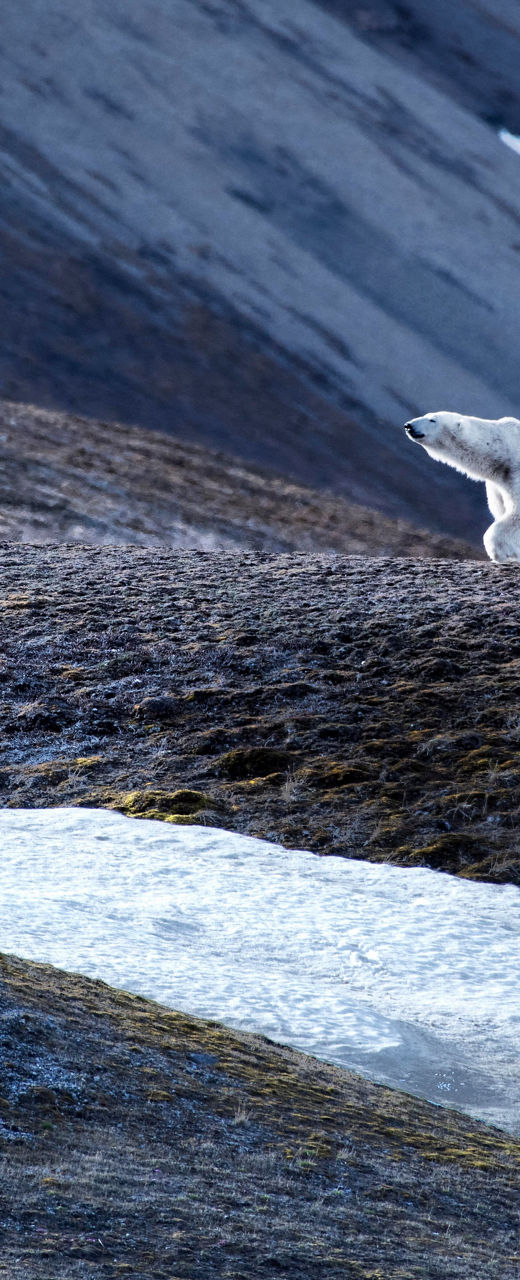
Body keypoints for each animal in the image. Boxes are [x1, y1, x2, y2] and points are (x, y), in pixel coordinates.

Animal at [404, 411, 520, 563]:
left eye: (432, 420)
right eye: (427, 415)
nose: (408, 425)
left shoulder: (515, 471)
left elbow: (515, 513)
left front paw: (498, 552)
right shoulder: (498, 483)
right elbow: (501, 508)